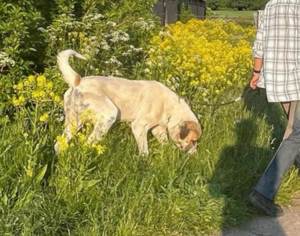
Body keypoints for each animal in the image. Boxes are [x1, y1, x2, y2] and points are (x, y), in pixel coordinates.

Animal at [54, 49, 202, 156]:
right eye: (193, 140)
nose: (195, 155)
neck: (171, 108)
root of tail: (78, 80)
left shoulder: (158, 129)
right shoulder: (139, 126)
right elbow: (144, 152)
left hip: (74, 123)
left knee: (59, 145)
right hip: (108, 115)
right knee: (87, 143)